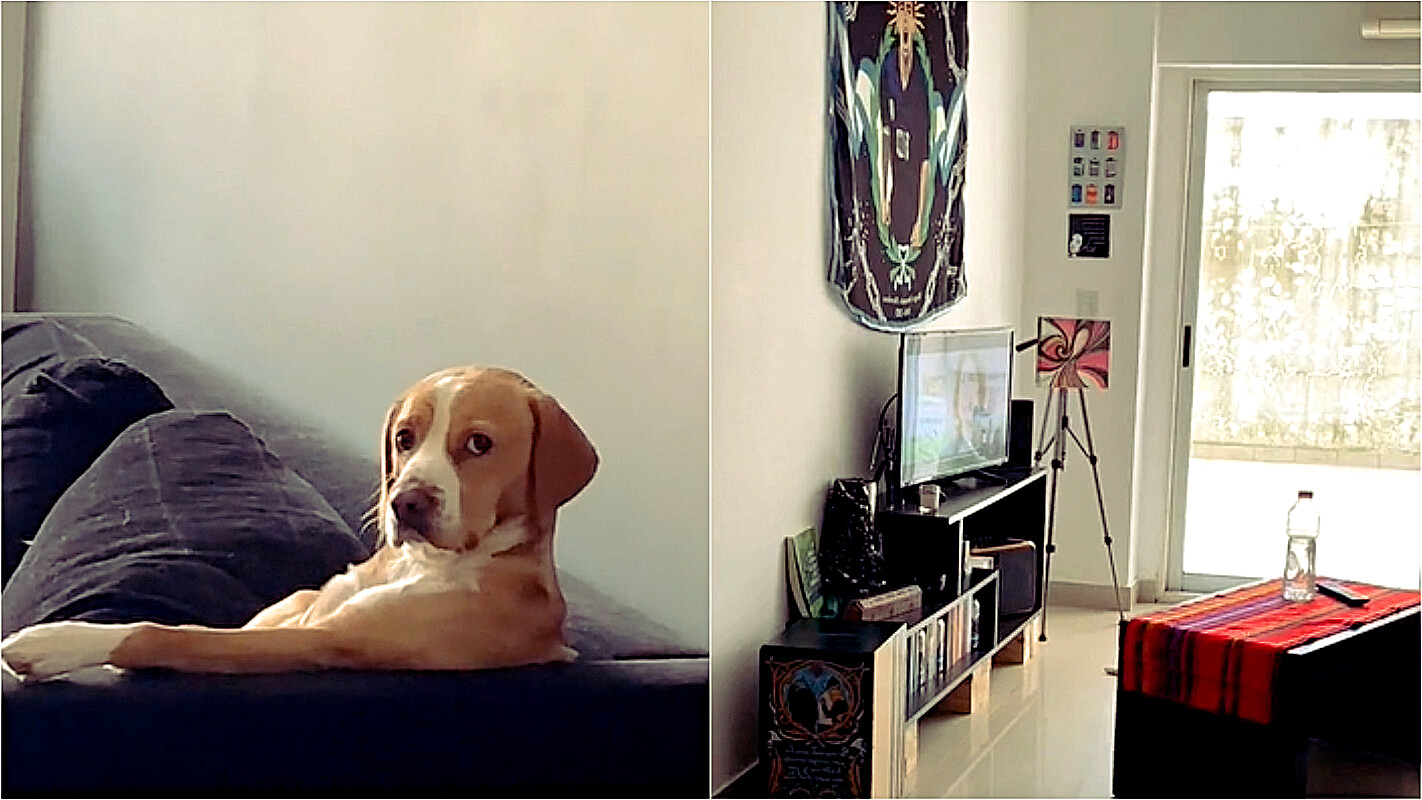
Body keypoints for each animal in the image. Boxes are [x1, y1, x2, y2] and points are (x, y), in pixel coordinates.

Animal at [1, 366, 600, 679]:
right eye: (405, 438)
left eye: (479, 444)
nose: (406, 504)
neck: (420, 566)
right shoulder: (293, 616)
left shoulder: (320, 642)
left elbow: (164, 635)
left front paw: (53, 643)